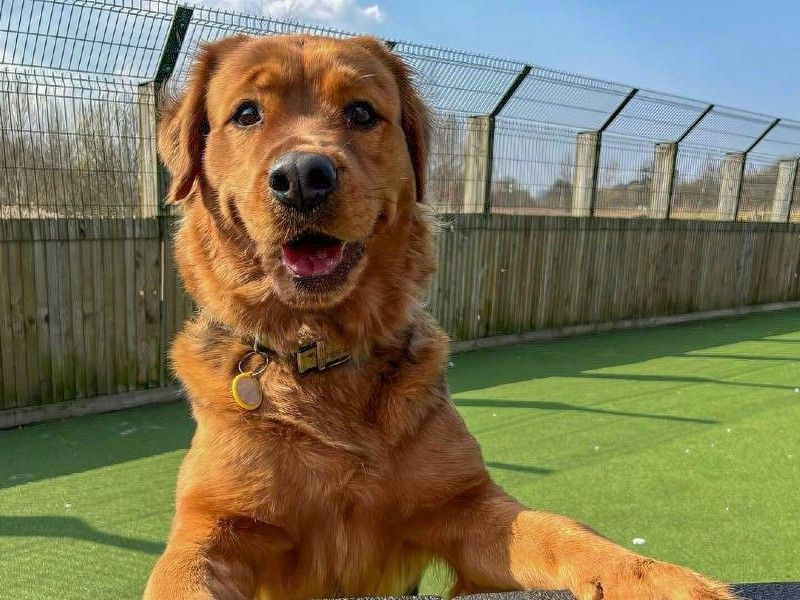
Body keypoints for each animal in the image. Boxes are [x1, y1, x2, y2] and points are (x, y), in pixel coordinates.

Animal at [145, 34, 736, 600]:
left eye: (361, 113)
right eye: (246, 113)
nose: (302, 177)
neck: (322, 355)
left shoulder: (466, 507)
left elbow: (562, 531)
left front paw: (651, 576)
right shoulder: (215, 523)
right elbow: (178, 576)